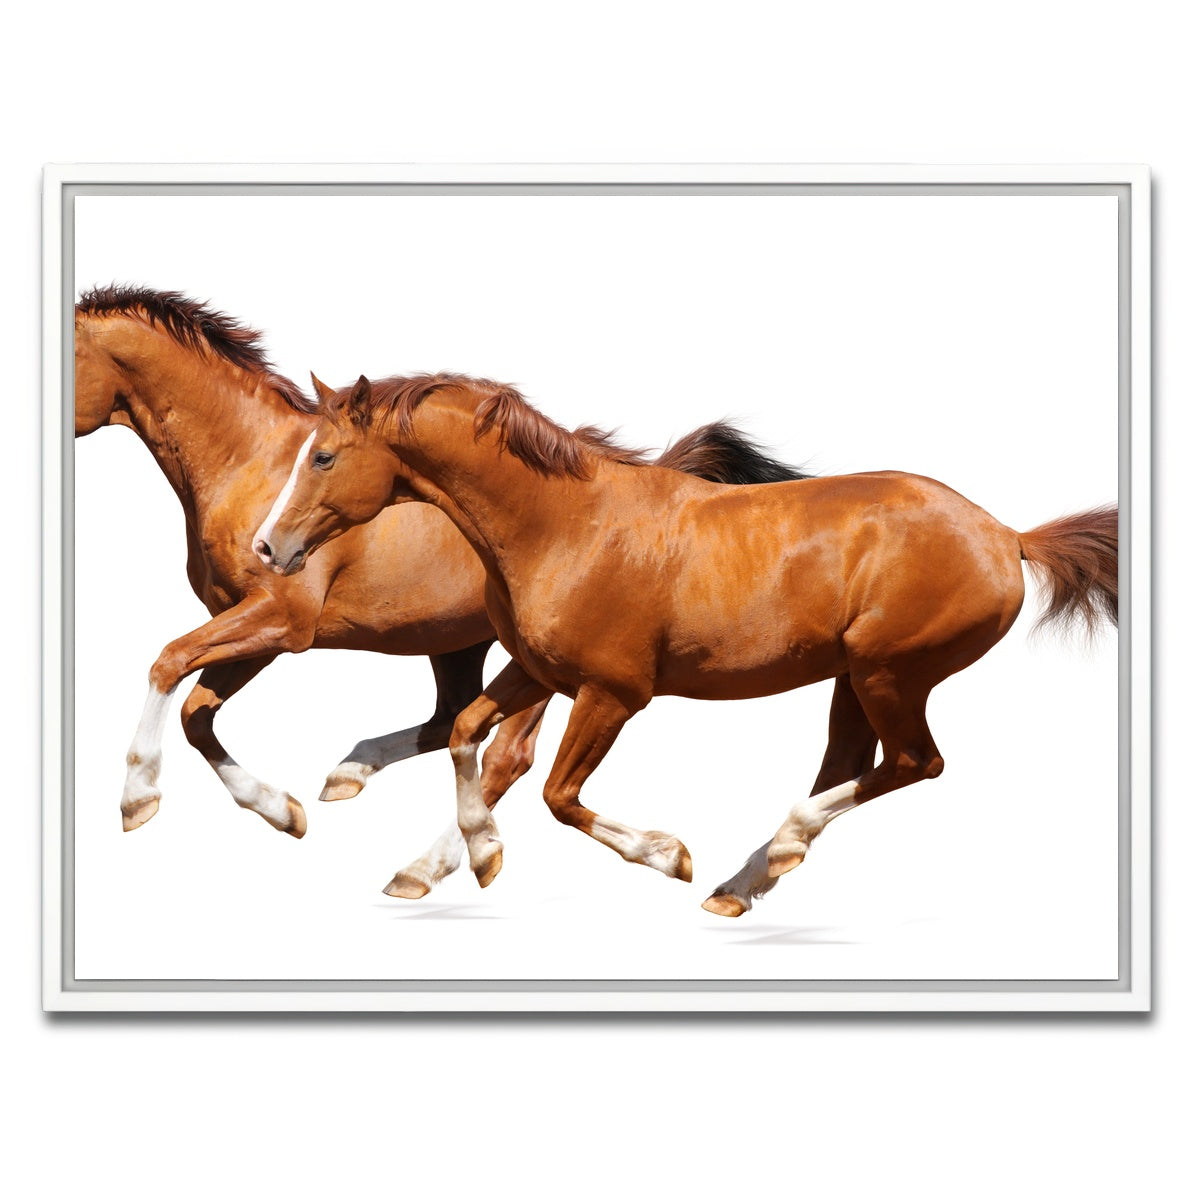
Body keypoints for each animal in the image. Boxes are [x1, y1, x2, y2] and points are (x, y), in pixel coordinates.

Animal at [75, 287, 805, 897]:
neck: (249, 462)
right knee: (450, 723)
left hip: (543, 670)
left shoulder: (282, 620)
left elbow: (169, 663)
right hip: (461, 647)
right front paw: (284, 812)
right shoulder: (254, 627)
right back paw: (363, 787)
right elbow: (198, 713)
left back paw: (433, 861)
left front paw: (138, 799)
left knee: (505, 756)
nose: (270, 548)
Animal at [254, 372, 1119, 917]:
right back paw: (745, 881)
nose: (268, 547)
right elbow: (468, 733)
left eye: (322, 455)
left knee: (915, 763)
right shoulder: (538, 672)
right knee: (854, 763)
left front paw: (668, 855)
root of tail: (1006, 536)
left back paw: (773, 851)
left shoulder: (613, 693)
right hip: (856, 677)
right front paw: (480, 854)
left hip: (890, 673)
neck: (562, 526)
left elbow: (558, 795)